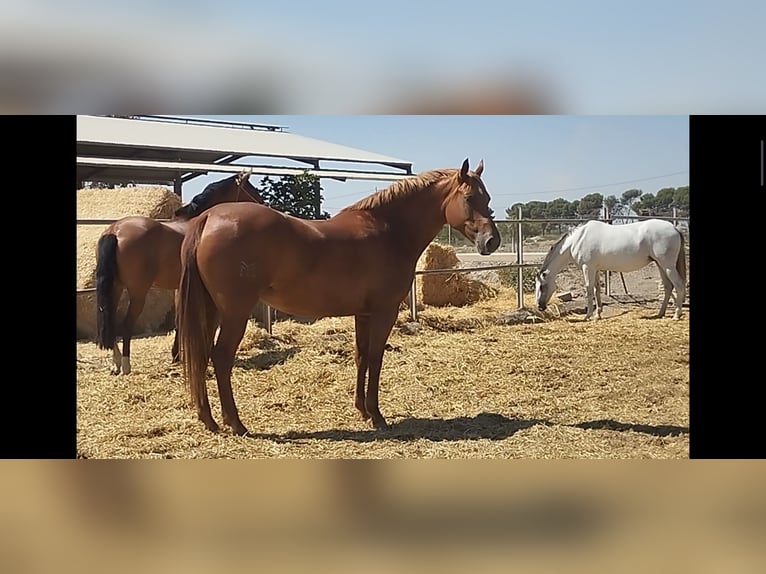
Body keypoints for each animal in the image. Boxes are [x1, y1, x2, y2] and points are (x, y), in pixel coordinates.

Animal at [94, 170, 264, 378]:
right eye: (251, 188)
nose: (263, 205)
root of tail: (115, 230)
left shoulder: (179, 288)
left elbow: (178, 322)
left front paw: (176, 355)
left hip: (116, 286)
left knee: (108, 318)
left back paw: (116, 363)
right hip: (137, 291)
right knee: (126, 324)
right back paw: (126, 365)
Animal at [176, 159, 500, 436]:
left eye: (487, 199)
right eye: (469, 198)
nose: (491, 241)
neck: (389, 230)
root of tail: (209, 218)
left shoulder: (363, 313)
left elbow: (361, 356)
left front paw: (363, 411)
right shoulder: (384, 312)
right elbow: (376, 357)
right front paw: (377, 416)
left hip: (212, 309)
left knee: (201, 354)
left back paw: (208, 420)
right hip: (235, 312)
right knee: (221, 357)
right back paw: (236, 424)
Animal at [536, 218, 688, 322]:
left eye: (542, 286)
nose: (539, 306)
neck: (577, 240)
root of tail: (675, 228)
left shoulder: (587, 268)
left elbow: (588, 289)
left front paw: (588, 316)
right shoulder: (595, 269)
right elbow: (597, 289)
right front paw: (598, 314)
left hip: (667, 266)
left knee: (679, 286)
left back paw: (676, 315)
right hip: (660, 265)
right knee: (668, 287)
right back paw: (660, 314)